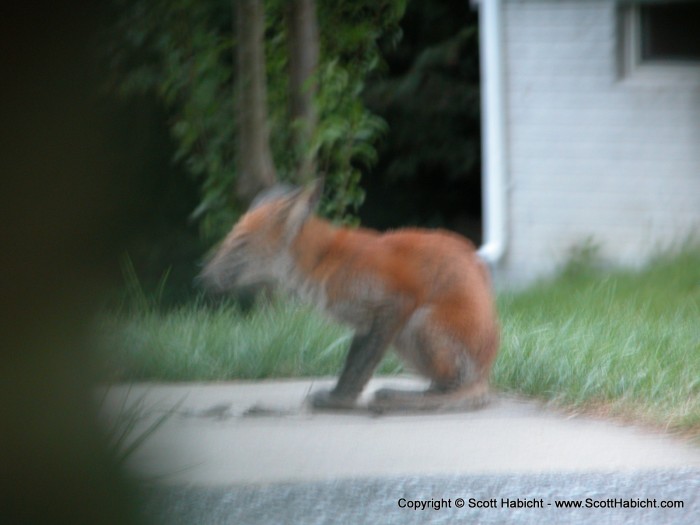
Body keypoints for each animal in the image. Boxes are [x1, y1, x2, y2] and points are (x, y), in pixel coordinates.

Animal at [200, 182, 500, 412]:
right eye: (228, 241)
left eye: (240, 244)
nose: (202, 277)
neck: (324, 262)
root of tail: (485, 371)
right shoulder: (365, 322)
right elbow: (352, 366)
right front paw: (340, 396)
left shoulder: (394, 304)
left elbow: (361, 365)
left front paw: (340, 403)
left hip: (416, 323)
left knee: (455, 388)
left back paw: (413, 399)